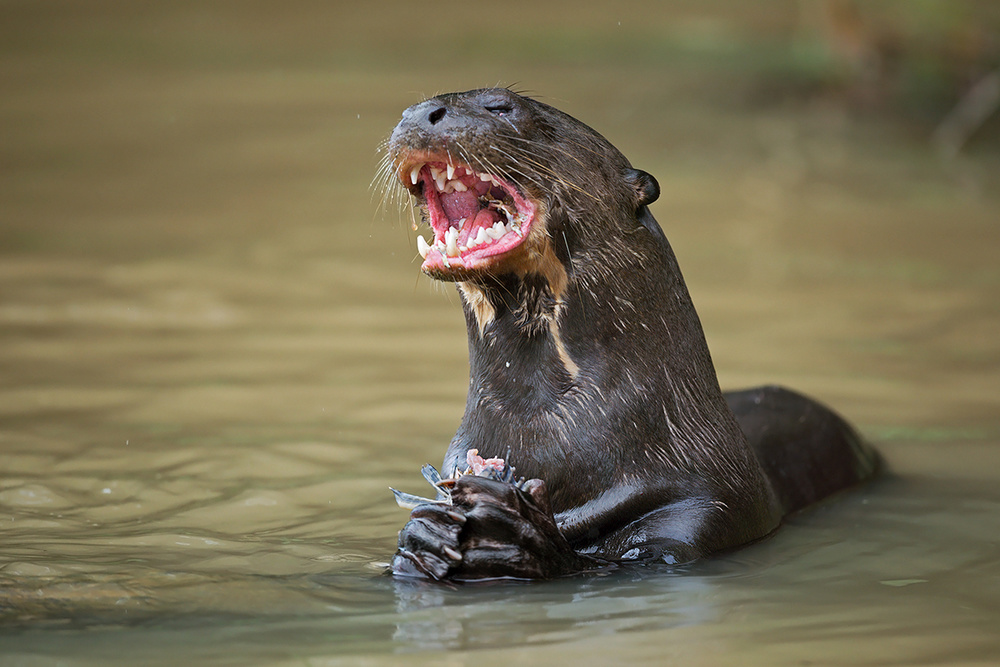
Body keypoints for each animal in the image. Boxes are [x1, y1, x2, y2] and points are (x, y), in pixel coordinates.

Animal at [380, 87, 876, 580]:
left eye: (502, 106)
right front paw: (426, 534)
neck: (547, 436)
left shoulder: (701, 515)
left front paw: (509, 532)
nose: (418, 113)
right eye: (409, 110)